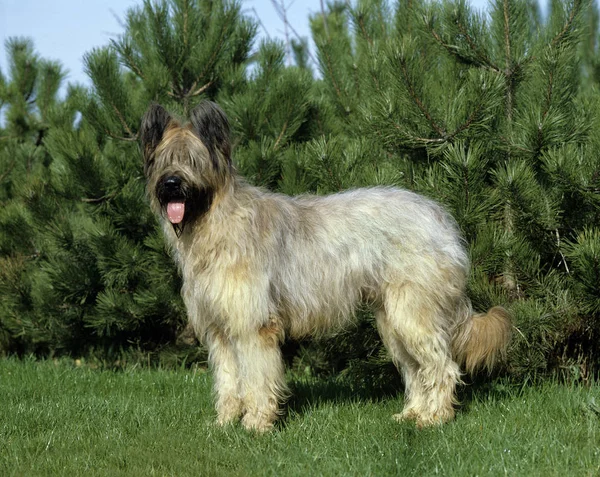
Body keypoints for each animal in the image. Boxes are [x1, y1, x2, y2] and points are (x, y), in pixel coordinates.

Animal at [141, 100, 510, 432]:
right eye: (163, 160)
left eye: (193, 160)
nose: (171, 184)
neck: (213, 222)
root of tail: (440, 217)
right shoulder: (220, 328)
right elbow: (229, 380)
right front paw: (225, 422)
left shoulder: (253, 325)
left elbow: (257, 379)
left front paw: (256, 424)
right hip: (393, 318)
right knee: (417, 369)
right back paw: (412, 414)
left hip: (414, 311)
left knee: (441, 366)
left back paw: (435, 418)